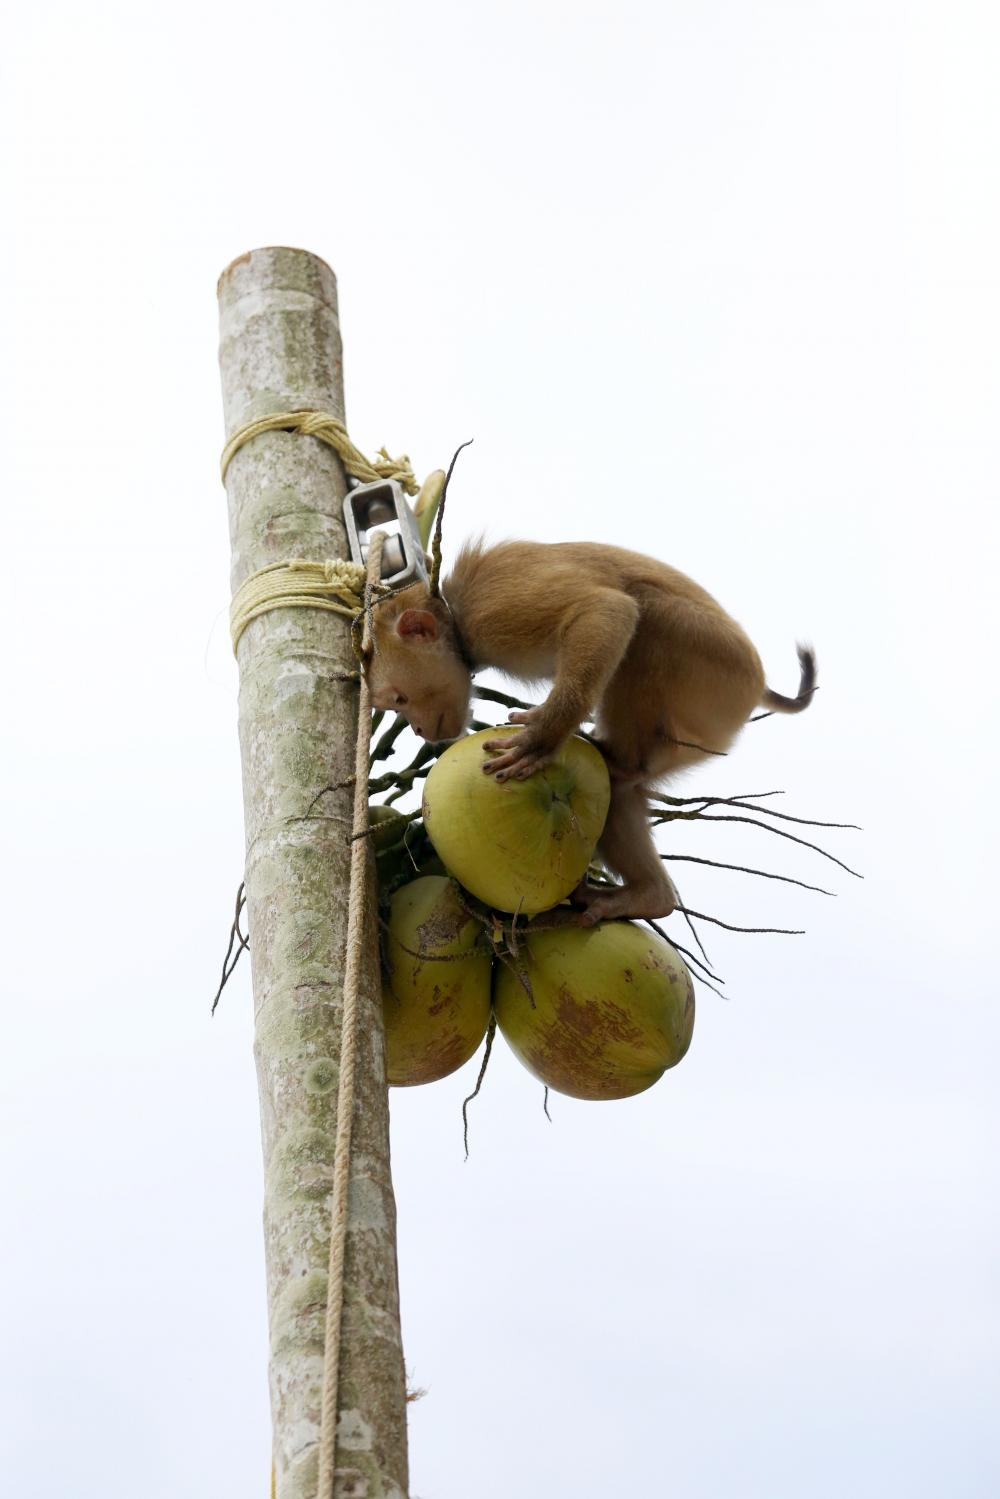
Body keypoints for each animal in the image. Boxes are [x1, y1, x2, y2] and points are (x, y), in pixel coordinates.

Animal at [362, 540, 815, 925]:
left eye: (400, 698)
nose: (419, 728)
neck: (454, 621)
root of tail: (759, 685)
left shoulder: (490, 612)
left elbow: (605, 608)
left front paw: (543, 735)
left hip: (716, 672)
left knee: (645, 616)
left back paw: (620, 759)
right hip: (702, 730)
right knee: (622, 790)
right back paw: (648, 893)